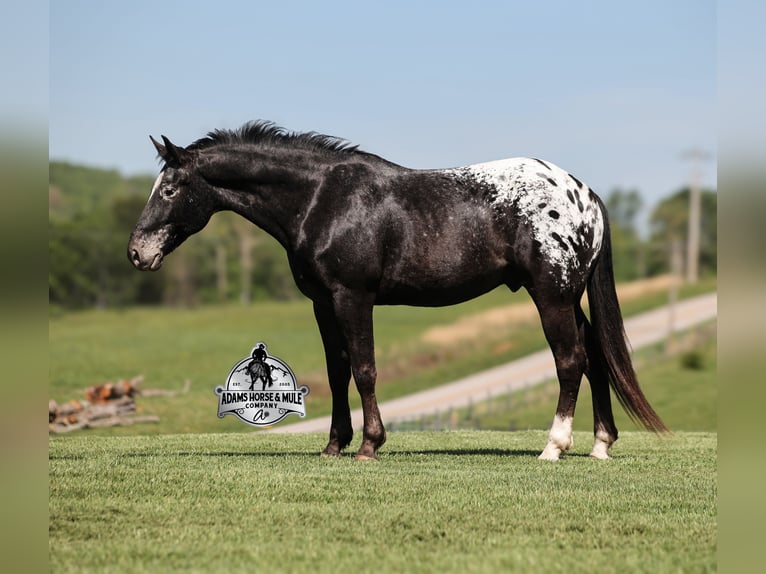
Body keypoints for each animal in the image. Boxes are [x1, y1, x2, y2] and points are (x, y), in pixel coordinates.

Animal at [128, 121, 667, 461]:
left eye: (170, 190)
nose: (136, 251)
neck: (323, 199)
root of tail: (584, 194)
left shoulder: (353, 297)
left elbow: (364, 370)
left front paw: (369, 445)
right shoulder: (323, 304)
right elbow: (337, 372)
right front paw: (333, 445)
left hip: (551, 295)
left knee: (570, 361)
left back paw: (554, 447)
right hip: (568, 297)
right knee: (595, 356)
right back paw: (600, 444)